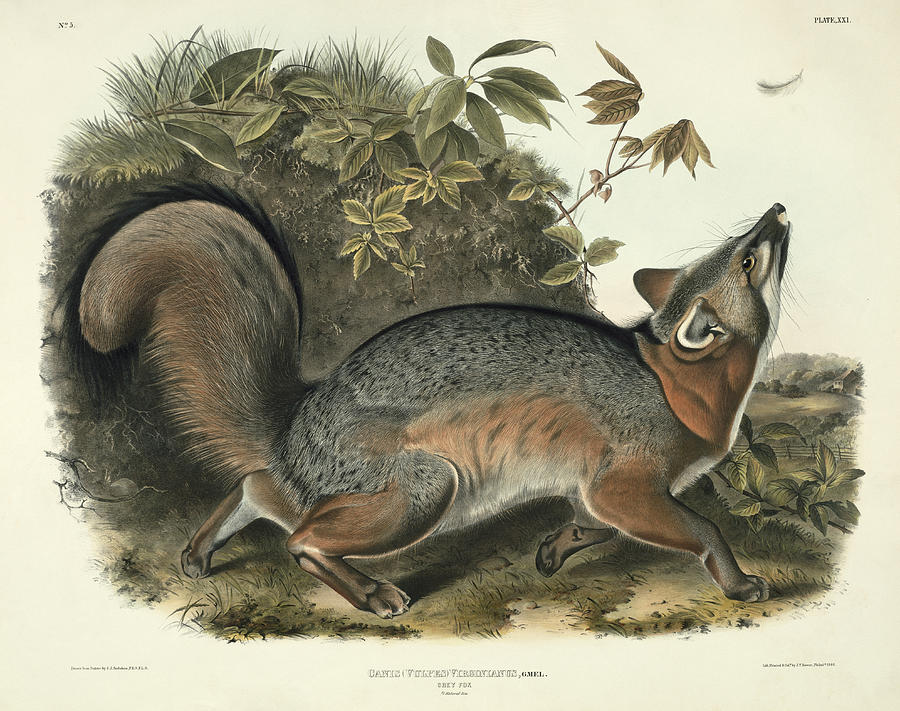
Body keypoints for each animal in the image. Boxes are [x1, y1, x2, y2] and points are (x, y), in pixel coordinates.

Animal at [63, 183, 790, 618]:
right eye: (747, 258)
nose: (777, 212)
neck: (673, 382)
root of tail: (299, 416)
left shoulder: (597, 488)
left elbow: (594, 522)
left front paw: (556, 548)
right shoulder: (624, 482)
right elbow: (702, 528)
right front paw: (738, 581)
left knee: (257, 487)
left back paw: (200, 550)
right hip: (428, 489)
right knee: (299, 537)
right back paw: (370, 593)